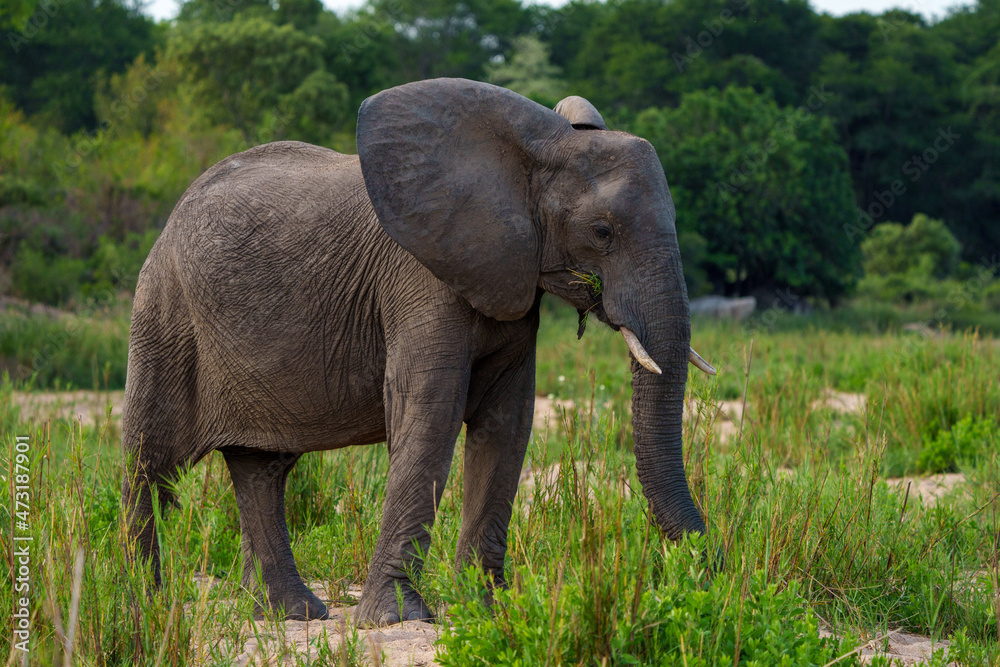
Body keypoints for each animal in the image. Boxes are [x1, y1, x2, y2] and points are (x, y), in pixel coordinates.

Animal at [121, 77, 716, 628]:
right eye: (602, 231)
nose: (712, 566)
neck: (539, 145)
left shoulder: (509, 277)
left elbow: (507, 424)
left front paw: (487, 610)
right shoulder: (419, 278)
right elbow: (430, 413)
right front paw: (397, 619)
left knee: (261, 469)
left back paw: (292, 613)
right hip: (164, 310)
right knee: (152, 462)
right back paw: (143, 608)